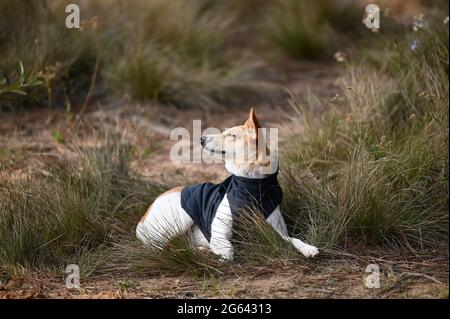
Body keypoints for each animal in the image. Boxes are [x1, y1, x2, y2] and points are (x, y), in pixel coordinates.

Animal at [135, 109, 318, 262]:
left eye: (231, 135)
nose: (201, 138)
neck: (252, 186)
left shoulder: (277, 232)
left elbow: (293, 239)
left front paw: (308, 248)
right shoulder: (218, 233)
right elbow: (228, 250)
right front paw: (220, 253)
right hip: (179, 218)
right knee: (159, 248)